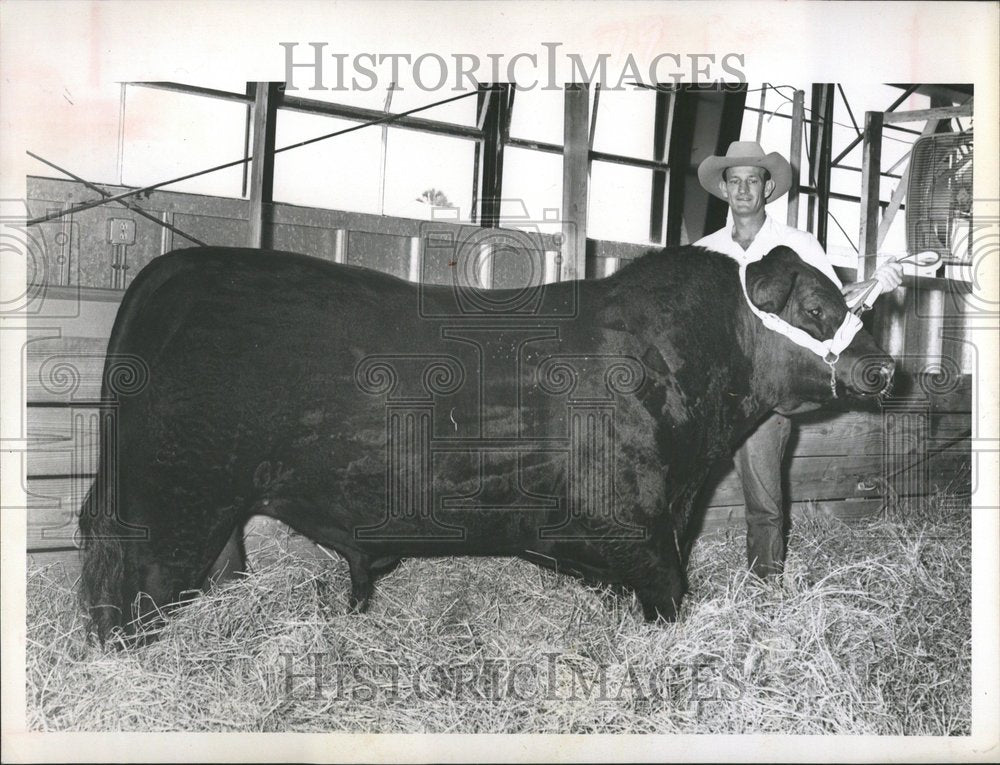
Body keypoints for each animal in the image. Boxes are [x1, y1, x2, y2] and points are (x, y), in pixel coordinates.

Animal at [76, 245, 892, 640]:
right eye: (817, 307)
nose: (883, 366)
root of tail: (168, 270)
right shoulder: (637, 529)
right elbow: (669, 595)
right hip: (170, 502)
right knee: (131, 588)